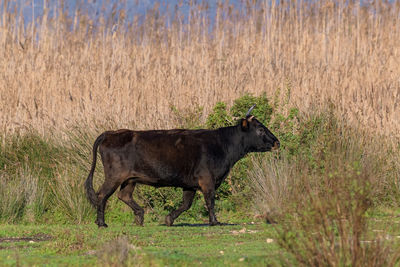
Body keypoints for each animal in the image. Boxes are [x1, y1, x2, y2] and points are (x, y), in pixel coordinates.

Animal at [84, 105, 278, 227]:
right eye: (260, 129)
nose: (277, 142)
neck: (222, 144)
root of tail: (112, 133)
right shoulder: (207, 179)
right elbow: (210, 201)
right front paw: (214, 221)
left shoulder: (190, 184)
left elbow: (186, 204)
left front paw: (169, 219)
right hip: (115, 176)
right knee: (102, 195)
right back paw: (102, 223)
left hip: (130, 179)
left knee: (124, 195)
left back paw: (139, 216)